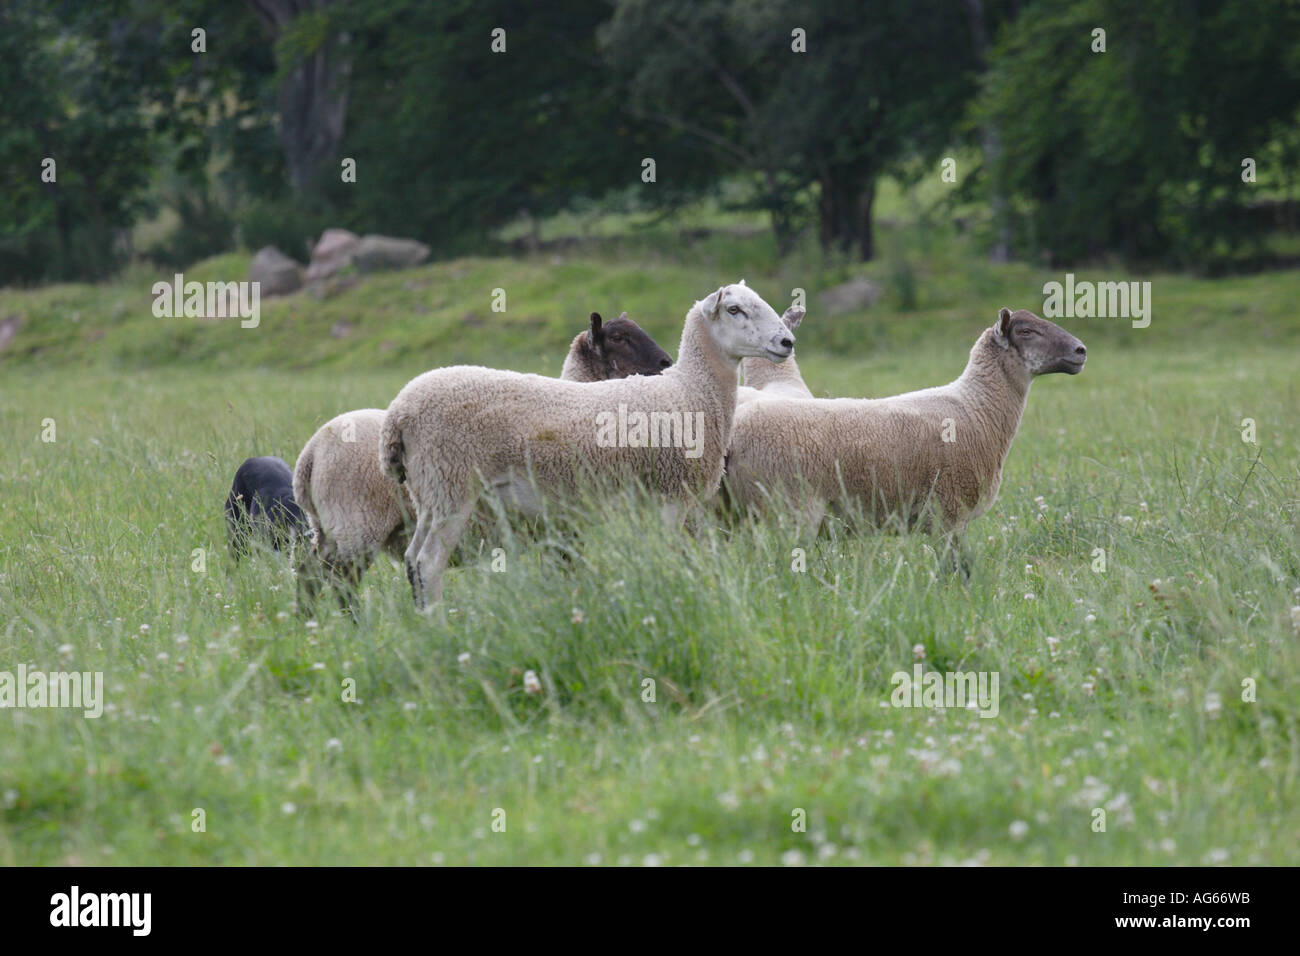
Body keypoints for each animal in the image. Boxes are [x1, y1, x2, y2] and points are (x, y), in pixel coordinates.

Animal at [294, 312, 675, 606]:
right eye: (619, 337)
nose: (666, 363)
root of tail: (309, 456)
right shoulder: (564, 526)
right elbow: (567, 571)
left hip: (331, 529)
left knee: (309, 573)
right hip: (360, 526)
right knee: (341, 582)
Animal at [382, 281, 796, 609]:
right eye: (734, 309)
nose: (787, 341)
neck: (690, 390)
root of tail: (398, 412)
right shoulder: (668, 495)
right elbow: (668, 556)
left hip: (430, 492)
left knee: (412, 560)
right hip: (452, 484)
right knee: (429, 563)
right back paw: (438, 625)